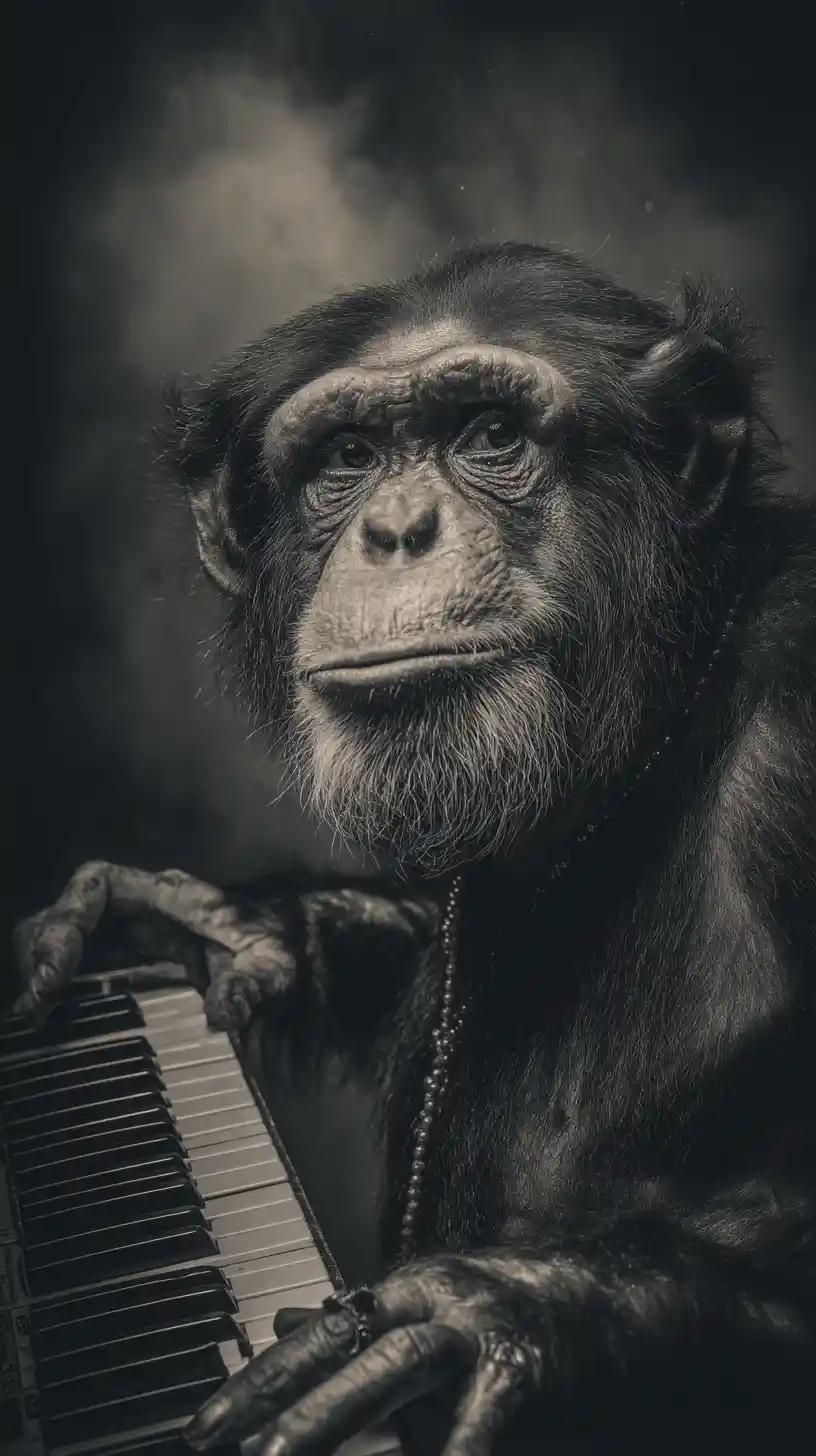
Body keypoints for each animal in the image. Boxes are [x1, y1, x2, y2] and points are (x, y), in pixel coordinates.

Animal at [12, 244, 816, 1453]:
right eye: (348, 457)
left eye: (490, 433)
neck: (654, 731)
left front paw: (496, 1316)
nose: (397, 529)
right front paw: (211, 926)